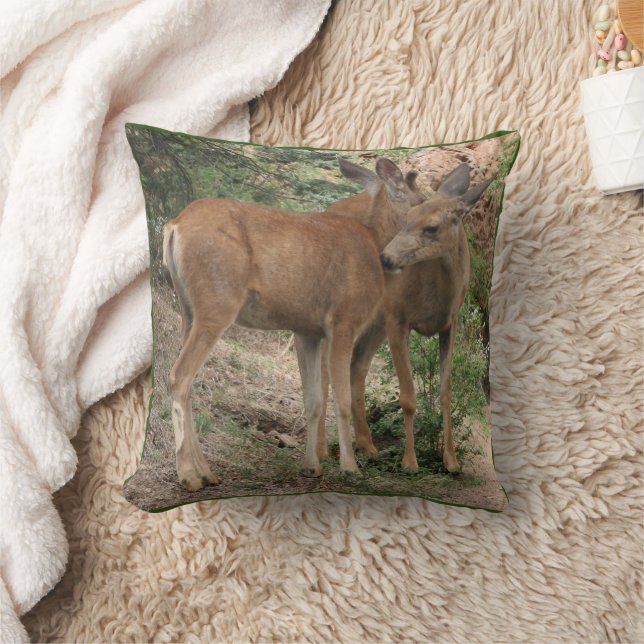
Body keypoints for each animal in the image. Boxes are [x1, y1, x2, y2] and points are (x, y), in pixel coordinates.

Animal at [162, 156, 424, 491]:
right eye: (419, 198)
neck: (376, 244)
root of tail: (174, 225)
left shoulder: (306, 330)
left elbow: (313, 399)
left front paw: (311, 466)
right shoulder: (343, 320)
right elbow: (341, 399)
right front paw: (350, 467)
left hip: (187, 309)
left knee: (188, 381)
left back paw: (207, 472)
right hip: (216, 303)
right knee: (178, 376)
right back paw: (189, 475)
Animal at [314, 163, 492, 474]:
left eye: (432, 227)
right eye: (407, 218)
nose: (385, 259)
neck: (437, 294)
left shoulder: (450, 323)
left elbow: (446, 392)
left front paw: (451, 461)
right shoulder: (397, 318)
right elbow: (408, 397)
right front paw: (410, 462)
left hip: (373, 323)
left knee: (357, 365)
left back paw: (367, 447)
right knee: (325, 372)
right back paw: (325, 450)